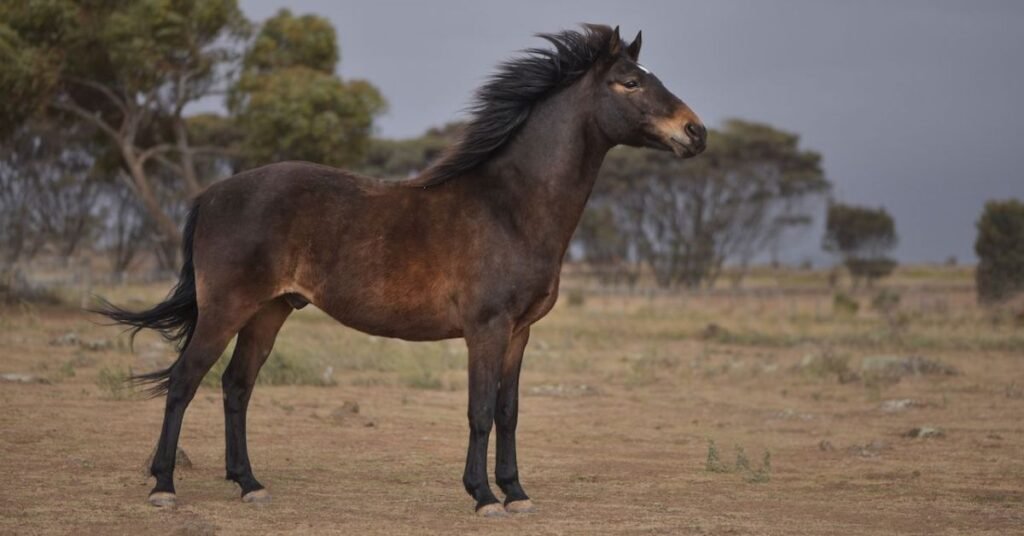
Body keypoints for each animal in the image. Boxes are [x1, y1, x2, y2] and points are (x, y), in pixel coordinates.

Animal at [99, 23, 706, 516]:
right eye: (629, 82)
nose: (695, 132)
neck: (509, 206)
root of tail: (212, 194)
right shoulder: (486, 330)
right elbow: (479, 411)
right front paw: (483, 497)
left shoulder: (520, 333)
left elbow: (508, 411)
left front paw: (516, 493)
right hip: (225, 309)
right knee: (184, 382)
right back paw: (164, 487)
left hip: (269, 311)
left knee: (236, 386)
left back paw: (250, 484)